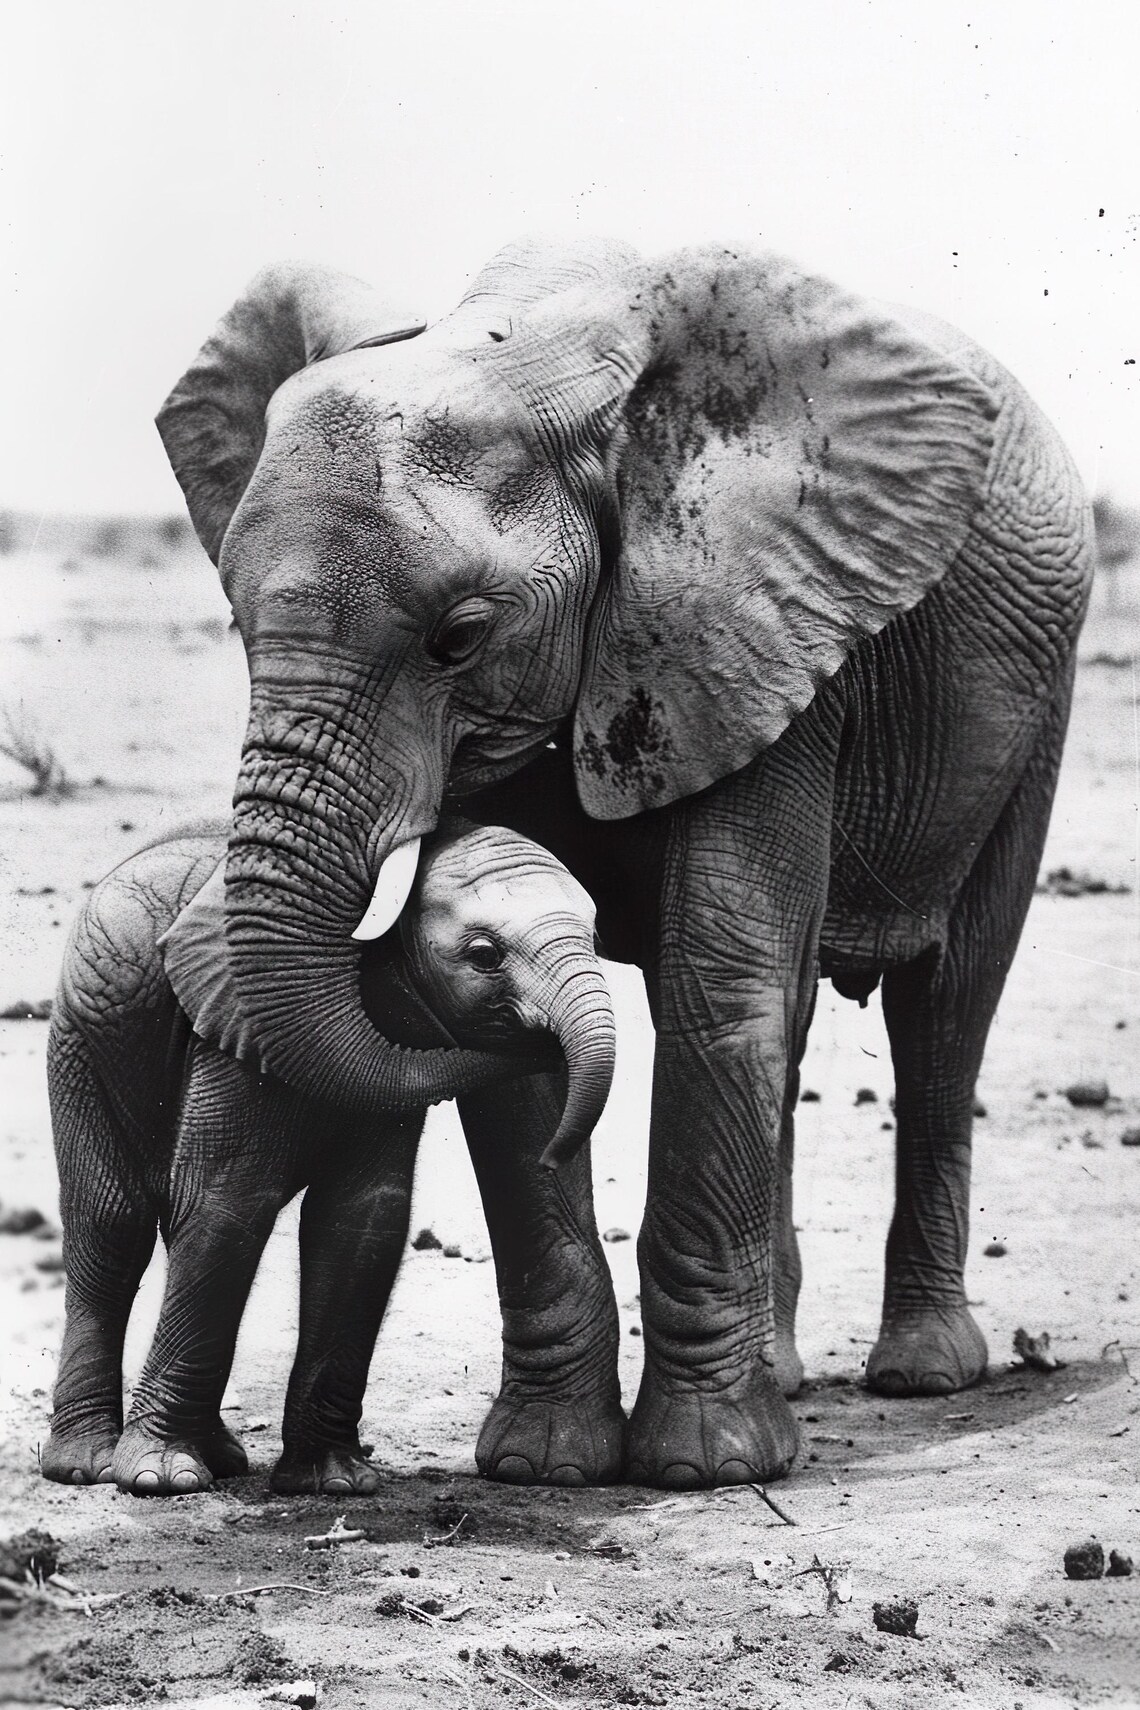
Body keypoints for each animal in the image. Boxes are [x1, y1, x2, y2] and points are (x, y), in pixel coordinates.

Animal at [43, 816, 614, 1495]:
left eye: (599, 938)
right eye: (483, 956)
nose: (551, 1156)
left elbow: (362, 1217)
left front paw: (333, 1482)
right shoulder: (235, 1032)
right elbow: (224, 1205)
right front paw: (161, 1478)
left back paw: (222, 1458)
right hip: (81, 1041)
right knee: (111, 1225)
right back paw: (86, 1466)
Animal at [155, 238, 1093, 1489]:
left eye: (459, 637)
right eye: (238, 626)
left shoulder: (762, 630)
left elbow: (717, 982)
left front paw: (706, 1469)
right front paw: (548, 1466)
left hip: (1034, 704)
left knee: (946, 1006)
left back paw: (924, 1374)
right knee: (801, 1017)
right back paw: (787, 1374)